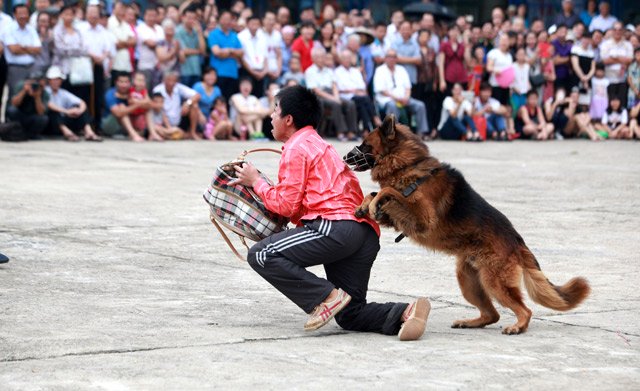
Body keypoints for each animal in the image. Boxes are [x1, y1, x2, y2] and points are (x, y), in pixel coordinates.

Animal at [344, 115, 592, 336]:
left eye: (366, 144)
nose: (346, 157)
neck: (408, 164)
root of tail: (517, 241)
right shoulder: (402, 218)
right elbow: (375, 193)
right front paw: (364, 206)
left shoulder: (422, 218)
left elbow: (388, 191)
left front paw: (374, 203)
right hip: (469, 282)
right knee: (492, 314)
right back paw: (471, 322)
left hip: (494, 283)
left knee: (524, 310)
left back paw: (518, 326)